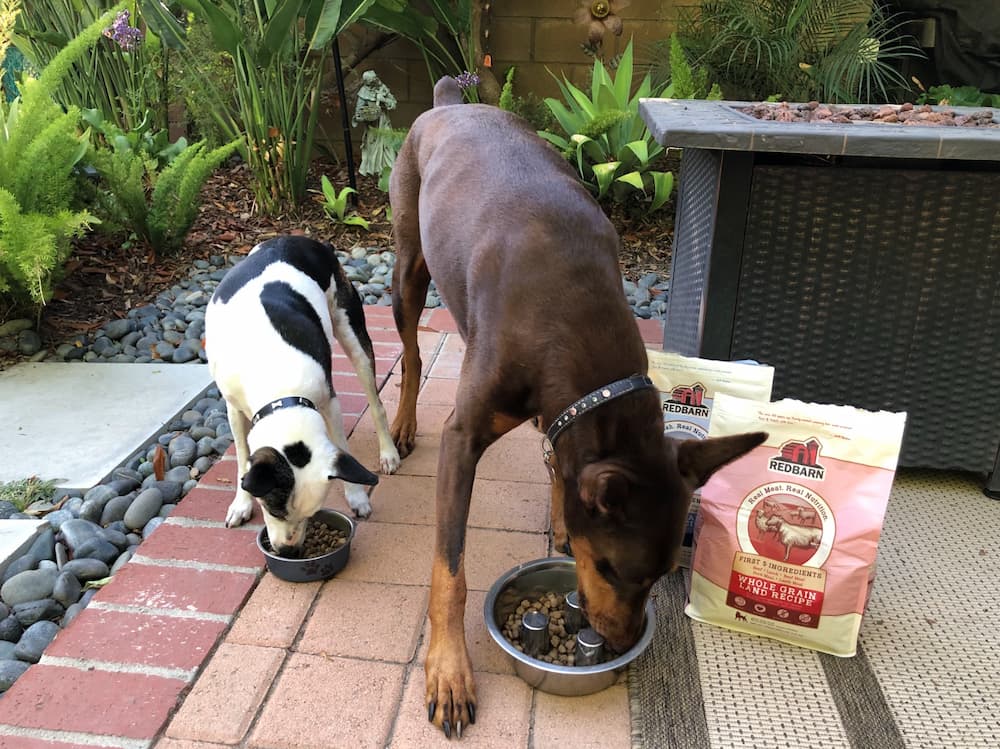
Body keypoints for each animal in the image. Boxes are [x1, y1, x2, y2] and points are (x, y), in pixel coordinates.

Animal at [205, 235, 400, 556]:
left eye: (311, 515)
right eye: (272, 510)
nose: (289, 553)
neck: (279, 385)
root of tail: (294, 238)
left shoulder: (329, 401)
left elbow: (342, 447)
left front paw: (357, 496)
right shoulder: (232, 408)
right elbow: (242, 456)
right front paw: (240, 504)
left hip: (352, 331)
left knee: (376, 403)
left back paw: (388, 453)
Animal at [390, 77, 764, 736]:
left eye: (663, 575)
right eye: (614, 569)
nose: (621, 643)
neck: (568, 303)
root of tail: (447, 103)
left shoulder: (562, 405)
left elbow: (561, 465)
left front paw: (564, 521)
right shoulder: (463, 437)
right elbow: (449, 571)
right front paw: (449, 673)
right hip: (409, 262)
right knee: (410, 351)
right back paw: (404, 423)